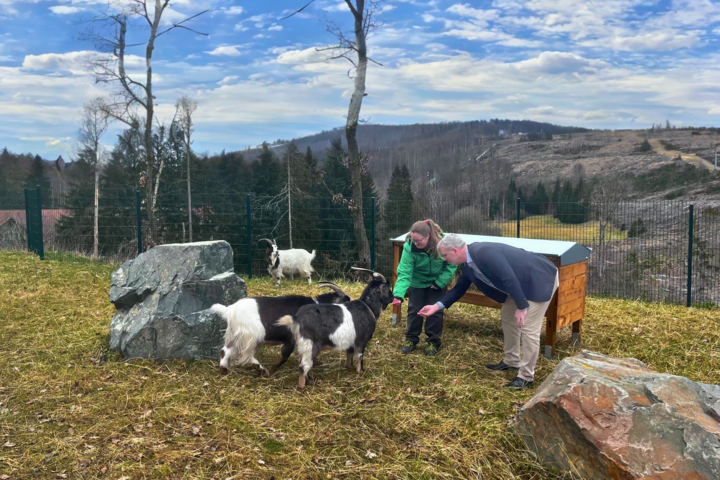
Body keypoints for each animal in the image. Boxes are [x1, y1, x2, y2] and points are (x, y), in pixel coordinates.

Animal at [210, 284, 350, 376]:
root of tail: (230, 310)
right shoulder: (291, 339)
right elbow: (285, 355)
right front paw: (274, 368)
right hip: (251, 336)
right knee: (247, 355)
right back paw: (263, 370)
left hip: (236, 335)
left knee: (225, 350)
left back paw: (224, 370)